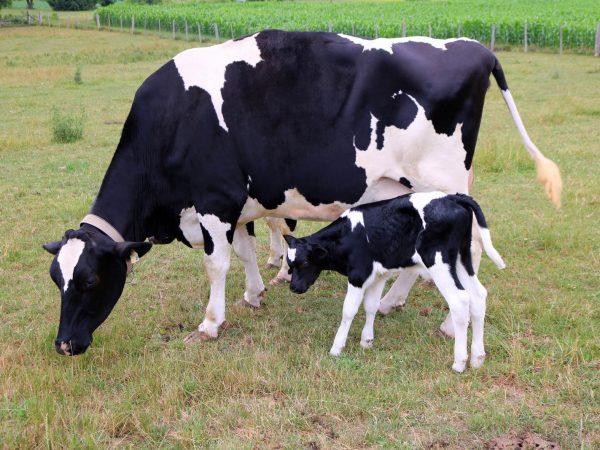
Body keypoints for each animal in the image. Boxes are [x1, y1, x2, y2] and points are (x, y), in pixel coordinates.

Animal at [284, 193, 504, 372]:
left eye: (305, 262)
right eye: (290, 264)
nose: (293, 287)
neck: (348, 236)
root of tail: (453, 197)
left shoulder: (357, 275)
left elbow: (349, 310)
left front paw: (337, 347)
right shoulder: (378, 275)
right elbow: (371, 306)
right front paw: (367, 341)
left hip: (438, 261)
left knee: (460, 301)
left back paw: (459, 362)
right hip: (461, 258)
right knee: (478, 296)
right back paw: (477, 358)